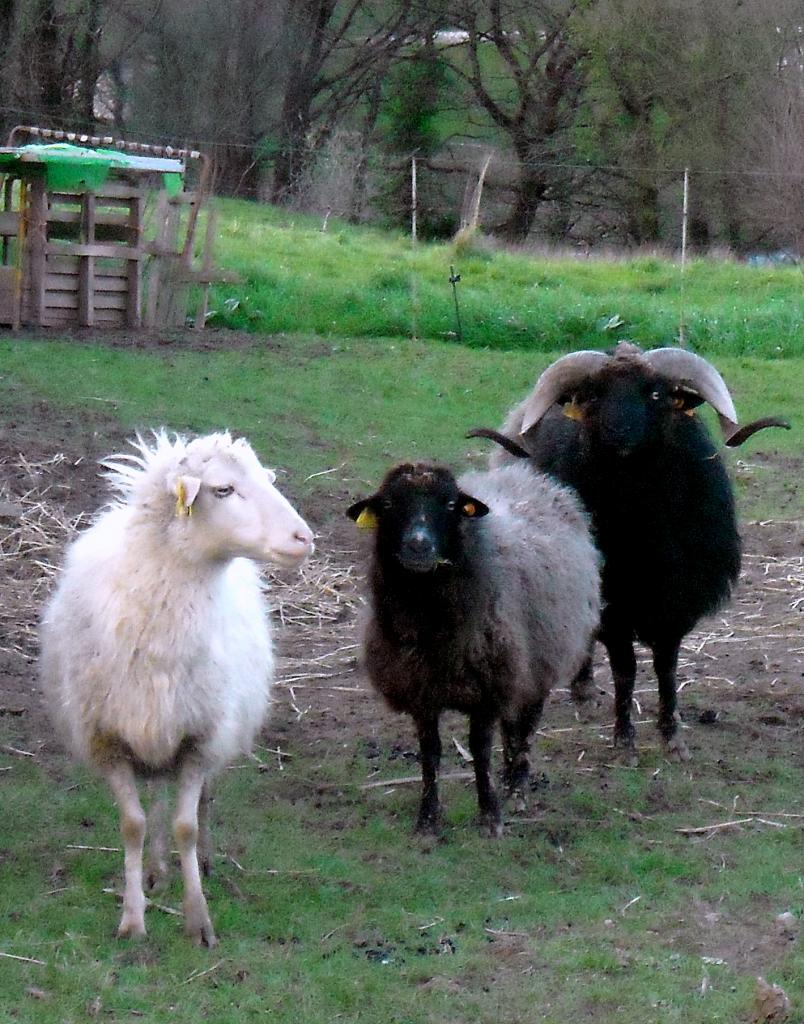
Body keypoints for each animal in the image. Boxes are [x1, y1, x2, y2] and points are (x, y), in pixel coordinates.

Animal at [39, 430, 313, 942]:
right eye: (223, 490)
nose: (304, 538)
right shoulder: (108, 738)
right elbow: (133, 824)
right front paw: (132, 918)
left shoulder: (200, 740)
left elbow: (187, 825)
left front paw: (198, 918)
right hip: (152, 727)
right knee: (158, 799)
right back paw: (155, 870)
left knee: (200, 803)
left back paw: (200, 862)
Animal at [348, 460, 598, 835]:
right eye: (389, 504)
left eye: (451, 505)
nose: (418, 545)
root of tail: (527, 476)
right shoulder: (421, 689)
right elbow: (430, 753)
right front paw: (428, 819)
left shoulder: (488, 687)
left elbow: (480, 750)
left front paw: (490, 816)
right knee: (512, 727)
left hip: (539, 660)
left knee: (526, 728)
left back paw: (517, 788)